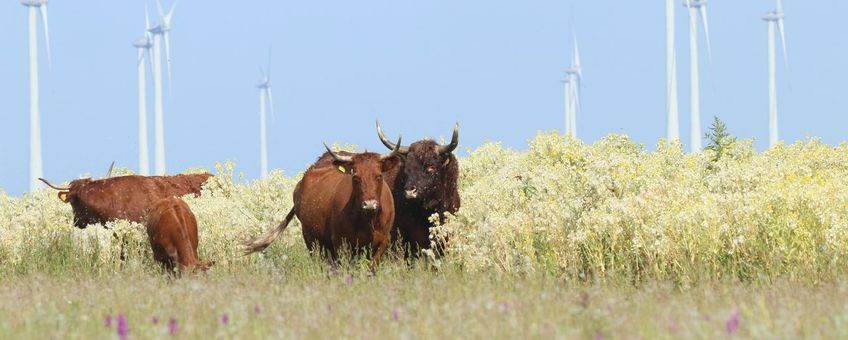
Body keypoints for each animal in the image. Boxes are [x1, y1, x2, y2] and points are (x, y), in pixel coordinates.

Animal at [245, 139, 404, 270]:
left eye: (379, 176)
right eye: (355, 177)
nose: (369, 204)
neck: (367, 220)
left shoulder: (383, 241)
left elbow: (371, 268)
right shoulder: (341, 242)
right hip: (311, 239)